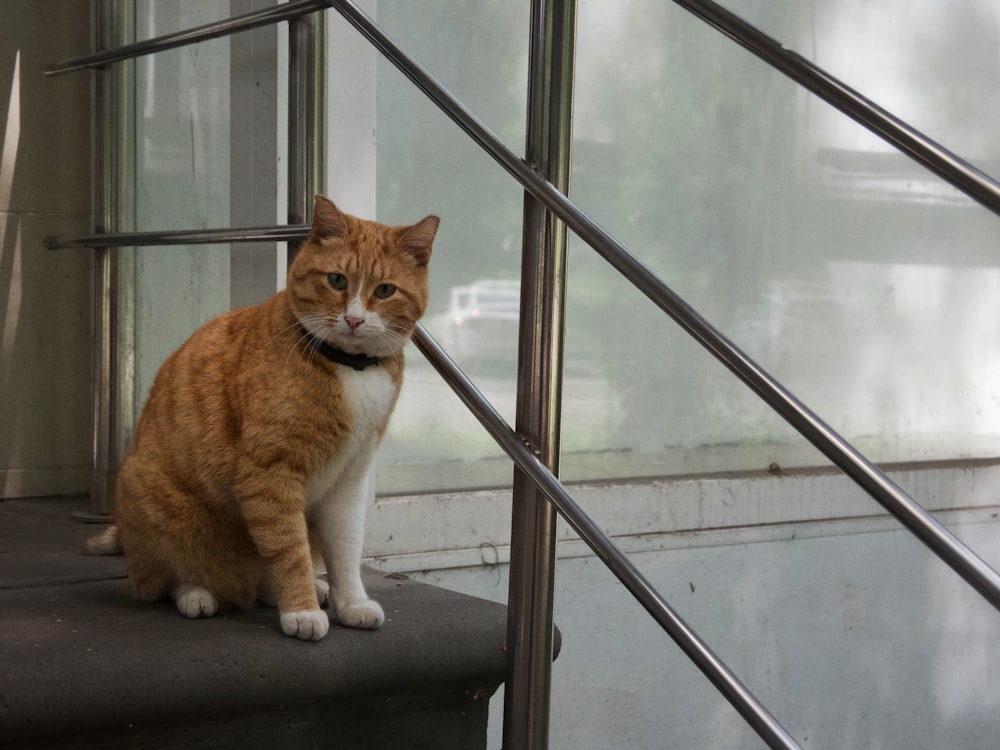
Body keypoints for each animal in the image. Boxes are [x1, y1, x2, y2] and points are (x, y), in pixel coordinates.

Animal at [88, 197, 440, 644]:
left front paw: (352, 602)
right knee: (167, 576)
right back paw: (199, 593)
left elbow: (346, 549)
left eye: (384, 290)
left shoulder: (349, 480)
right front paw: (301, 610)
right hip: (151, 499)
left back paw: (293, 589)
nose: (354, 320)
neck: (350, 369)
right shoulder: (270, 474)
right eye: (337, 280)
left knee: (264, 576)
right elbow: (288, 551)